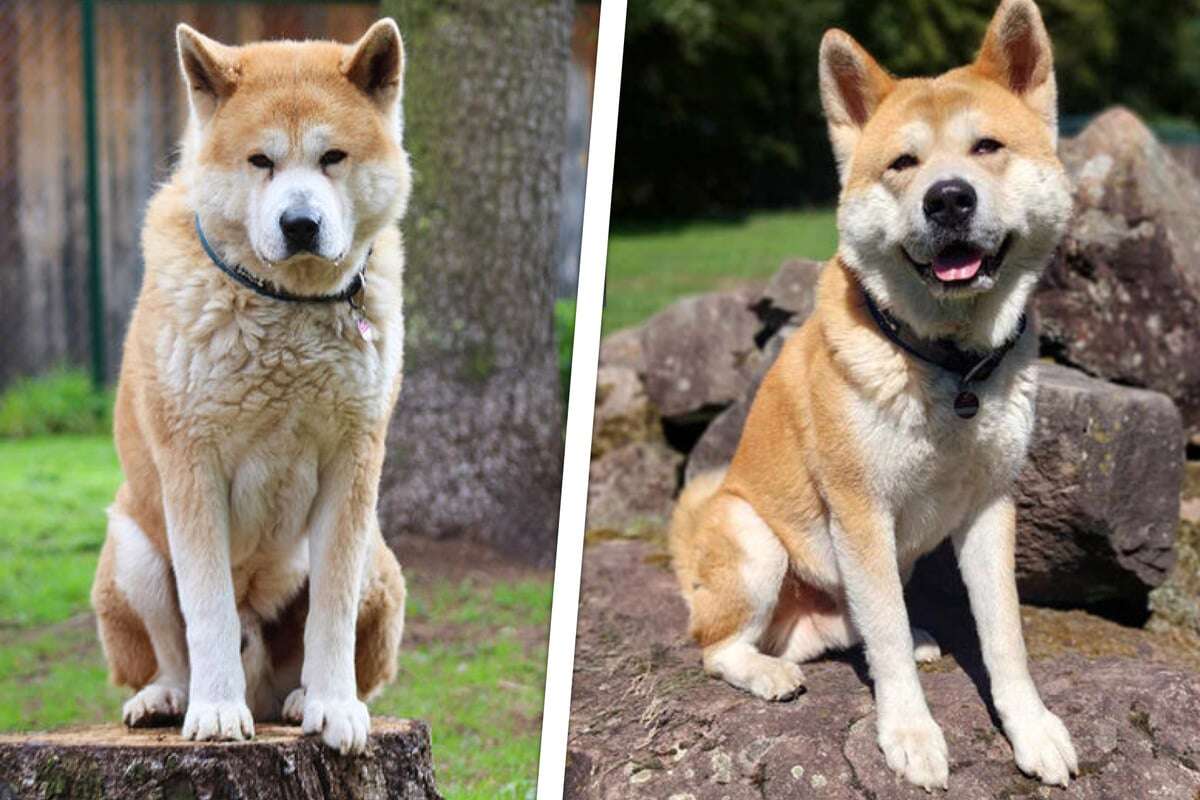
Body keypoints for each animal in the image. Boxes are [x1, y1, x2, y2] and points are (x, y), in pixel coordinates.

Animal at [88, 20, 412, 758]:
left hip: (378, 554)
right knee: (170, 650)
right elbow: (205, 609)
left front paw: (334, 706)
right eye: (260, 161)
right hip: (133, 546)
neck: (287, 306)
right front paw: (213, 712)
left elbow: (331, 610)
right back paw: (171, 698)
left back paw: (298, 699)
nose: (301, 224)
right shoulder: (191, 466)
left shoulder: (354, 464)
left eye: (332, 158)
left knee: (317, 653)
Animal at [667, 0, 1080, 786]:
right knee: (716, 647)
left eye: (987, 147)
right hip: (755, 540)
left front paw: (1032, 728)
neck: (949, 364)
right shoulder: (859, 510)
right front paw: (910, 733)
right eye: (903, 164)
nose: (948, 199)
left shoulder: (989, 506)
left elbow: (1003, 634)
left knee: (859, 623)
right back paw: (766, 670)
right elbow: (884, 644)